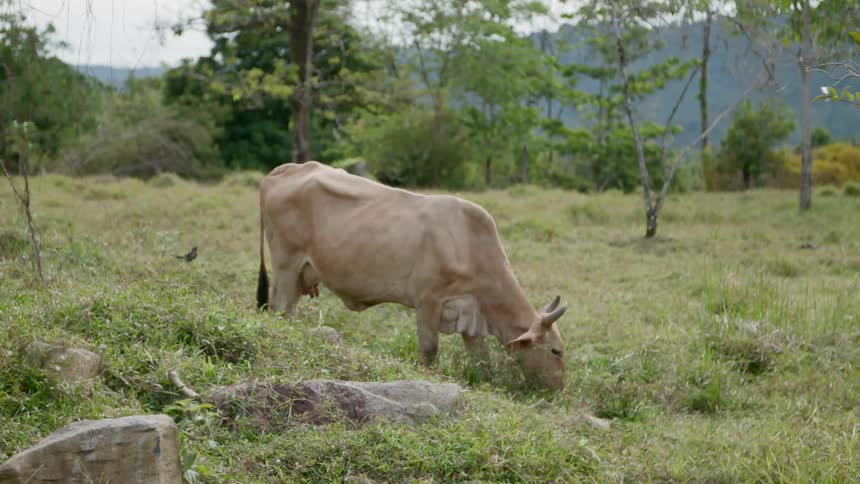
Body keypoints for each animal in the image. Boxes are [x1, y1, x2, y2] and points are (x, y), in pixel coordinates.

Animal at [256, 161, 569, 390]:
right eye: (556, 351)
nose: (559, 389)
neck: (469, 244)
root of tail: (285, 169)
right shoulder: (428, 300)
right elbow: (429, 350)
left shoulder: (471, 313)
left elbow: (482, 359)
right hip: (285, 264)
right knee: (279, 309)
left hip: (300, 273)